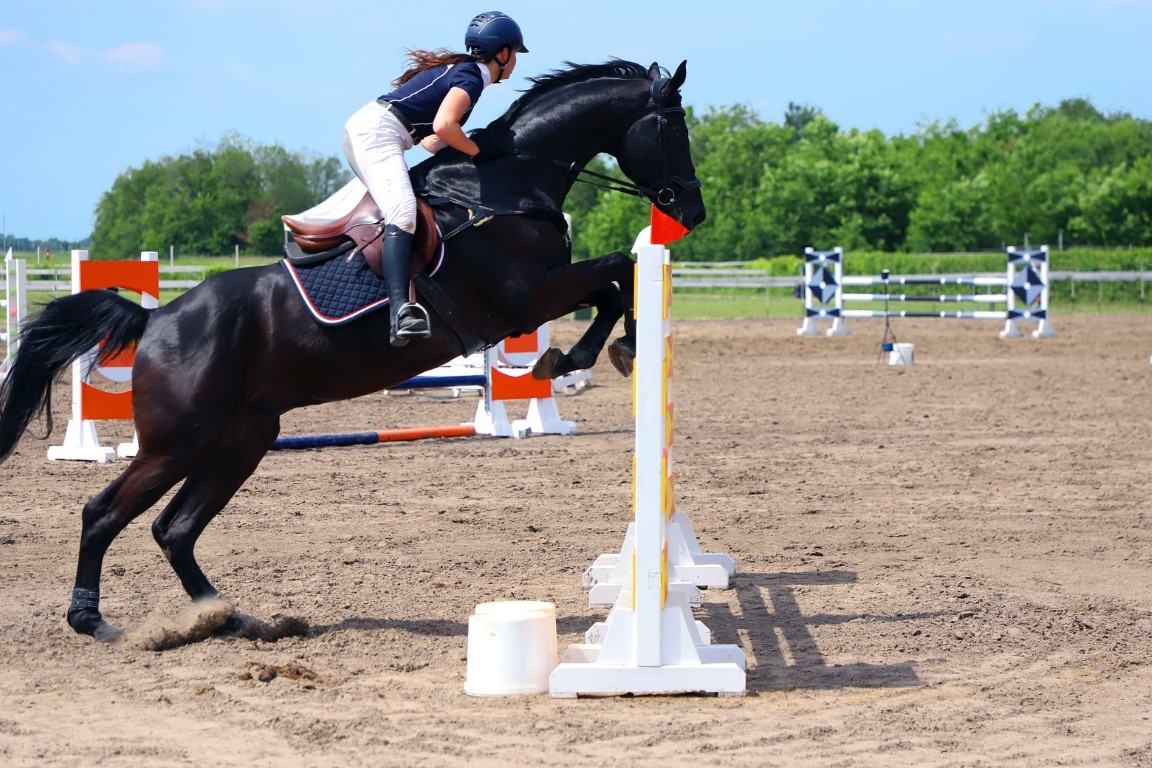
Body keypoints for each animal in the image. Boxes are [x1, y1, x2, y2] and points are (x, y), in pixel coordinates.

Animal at [0, 60, 705, 640]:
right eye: (674, 128)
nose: (693, 211)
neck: (504, 188)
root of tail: (157, 321)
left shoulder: (537, 295)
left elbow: (613, 281)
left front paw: (587, 355)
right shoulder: (525, 298)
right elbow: (614, 273)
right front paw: (583, 356)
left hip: (242, 437)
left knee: (174, 529)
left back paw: (233, 619)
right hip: (180, 441)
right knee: (104, 513)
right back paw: (93, 620)